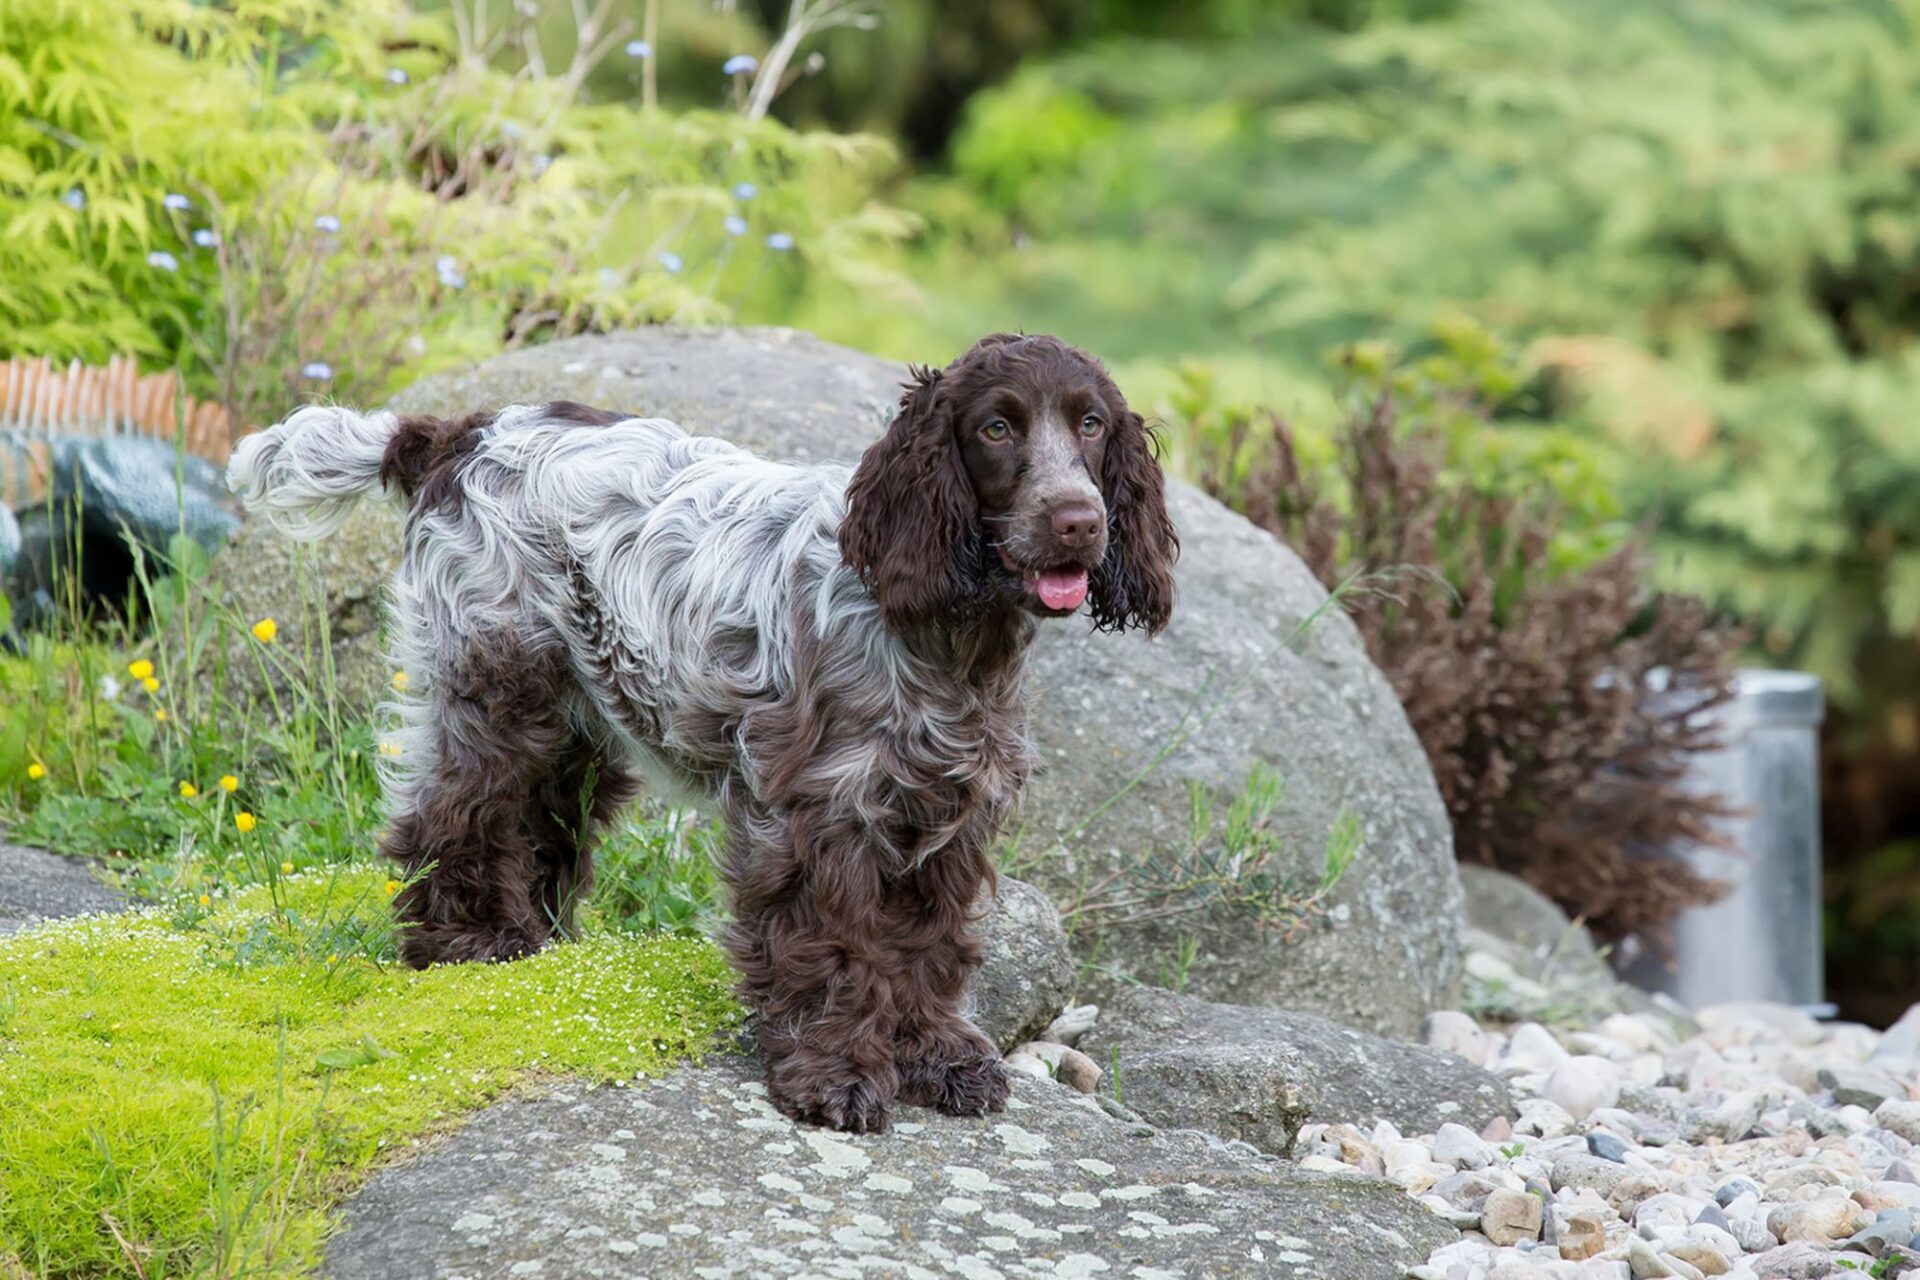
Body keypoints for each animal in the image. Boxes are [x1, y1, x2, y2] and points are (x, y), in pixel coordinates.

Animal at [232, 335, 1175, 1136]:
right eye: (995, 427)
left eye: (1091, 424)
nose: (1079, 521)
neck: (946, 642)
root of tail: (461, 434)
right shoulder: (815, 814)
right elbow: (834, 949)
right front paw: (834, 1076)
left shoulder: (943, 816)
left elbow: (927, 946)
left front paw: (935, 1058)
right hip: (500, 685)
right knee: (451, 816)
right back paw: (467, 944)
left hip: (579, 722)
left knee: (538, 828)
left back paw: (539, 942)